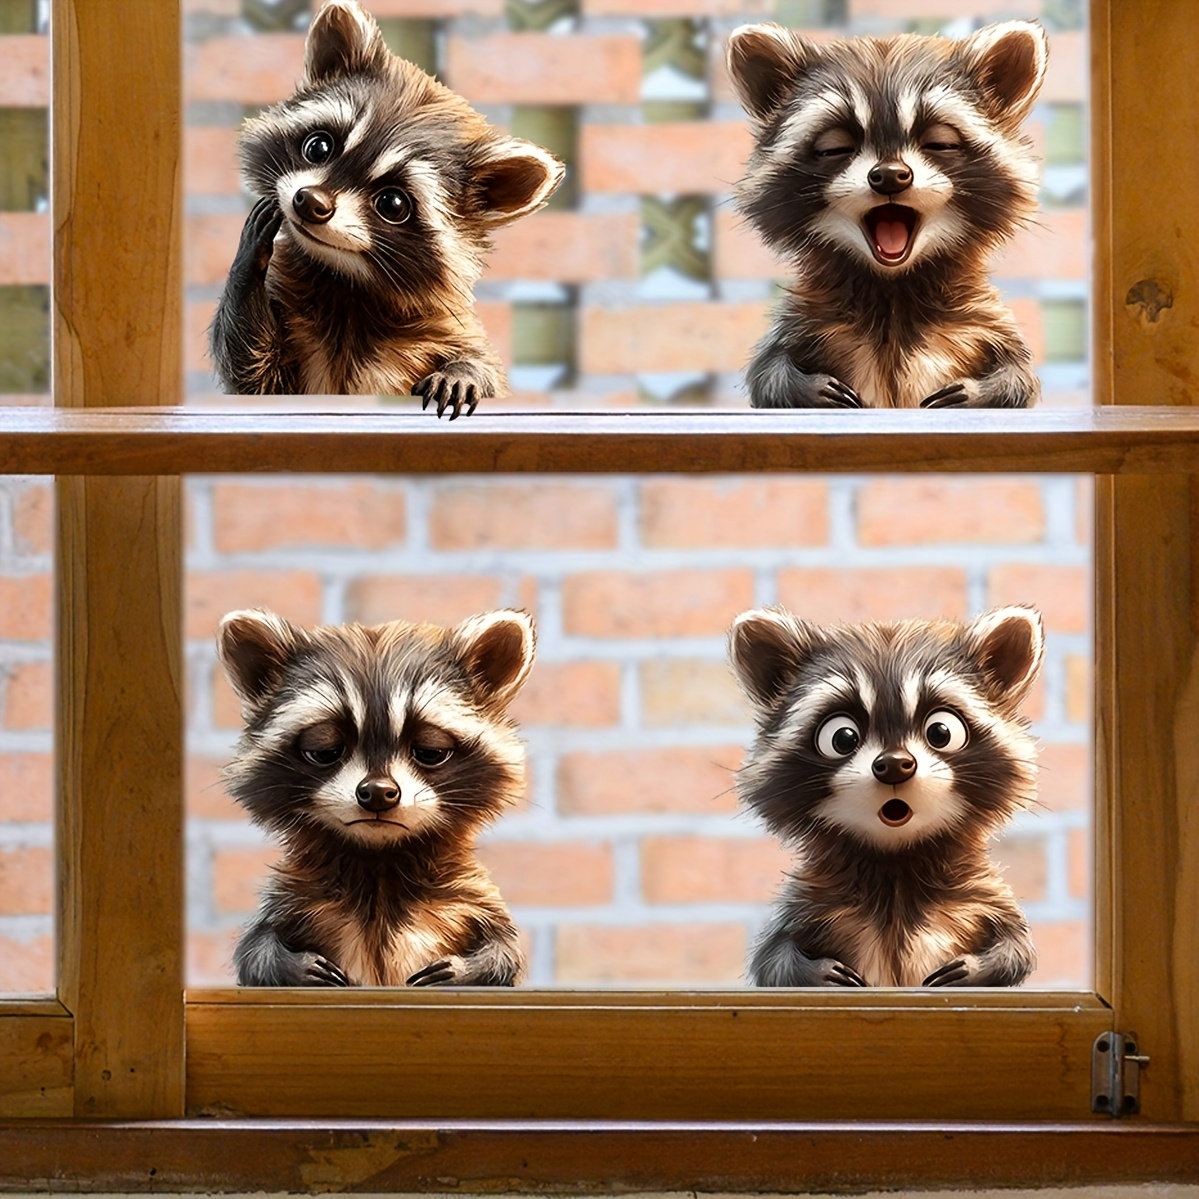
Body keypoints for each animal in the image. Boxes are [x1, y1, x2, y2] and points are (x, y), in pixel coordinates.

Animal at [209, 0, 564, 417]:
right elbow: (252, 369)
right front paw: (249, 261)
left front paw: (465, 372)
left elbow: (484, 364)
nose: (311, 202)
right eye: (319, 147)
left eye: (392, 203)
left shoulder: (448, 327)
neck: (345, 281)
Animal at [217, 606, 535, 987]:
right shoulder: (293, 896)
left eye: (430, 751)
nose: (378, 793)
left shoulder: (467, 895)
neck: (379, 861)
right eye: (325, 751)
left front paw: (469, 968)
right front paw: (291, 964)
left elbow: (505, 949)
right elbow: (255, 950)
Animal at [726, 21, 1047, 410]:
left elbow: (1019, 377)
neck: (893, 287)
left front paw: (981, 390)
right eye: (835, 148)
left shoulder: (982, 320)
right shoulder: (804, 319)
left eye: (939, 143)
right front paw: (807, 386)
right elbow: (768, 373)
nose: (891, 175)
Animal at [728, 605, 1042, 987]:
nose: (894, 765)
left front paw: (979, 967)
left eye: (941, 732)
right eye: (842, 737)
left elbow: (1018, 948)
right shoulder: (807, 903)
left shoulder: (981, 897)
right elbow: (772, 958)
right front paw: (815, 970)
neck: (895, 859)